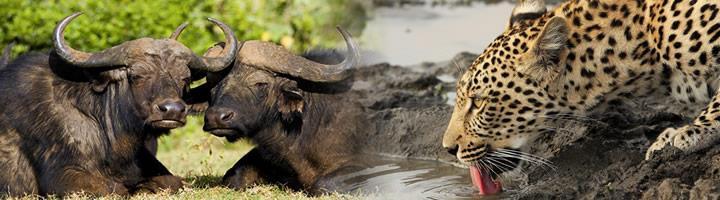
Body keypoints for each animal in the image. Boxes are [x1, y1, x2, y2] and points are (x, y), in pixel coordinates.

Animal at [0, 12, 239, 195]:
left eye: (185, 78)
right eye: (137, 75)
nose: (172, 110)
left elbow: (173, 182)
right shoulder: (61, 176)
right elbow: (116, 188)